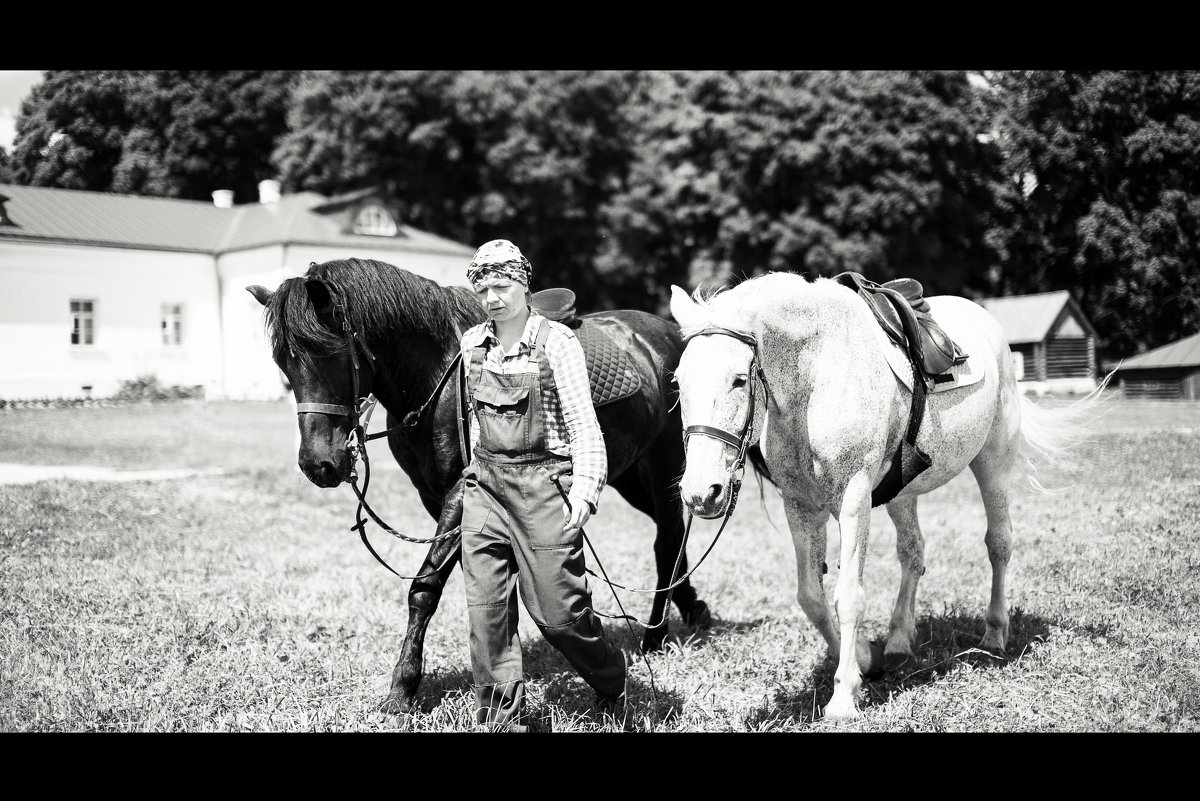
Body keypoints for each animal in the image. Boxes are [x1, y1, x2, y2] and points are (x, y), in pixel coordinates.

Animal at [247, 256, 710, 714]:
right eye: (283, 365)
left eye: (330, 354)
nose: (318, 464)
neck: (434, 378)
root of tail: (667, 334)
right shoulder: (438, 498)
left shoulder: (459, 492)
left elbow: (425, 587)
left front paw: (402, 689)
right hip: (628, 477)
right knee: (671, 535)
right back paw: (690, 609)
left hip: (666, 464)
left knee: (668, 538)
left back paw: (655, 636)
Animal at [667, 272, 1104, 714]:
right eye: (678, 382)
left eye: (738, 380)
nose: (701, 493)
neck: (816, 379)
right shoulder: (800, 506)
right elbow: (811, 596)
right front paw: (866, 658)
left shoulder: (854, 499)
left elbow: (848, 596)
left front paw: (844, 696)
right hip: (901, 494)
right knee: (913, 552)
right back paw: (898, 642)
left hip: (993, 460)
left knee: (999, 542)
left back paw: (994, 635)